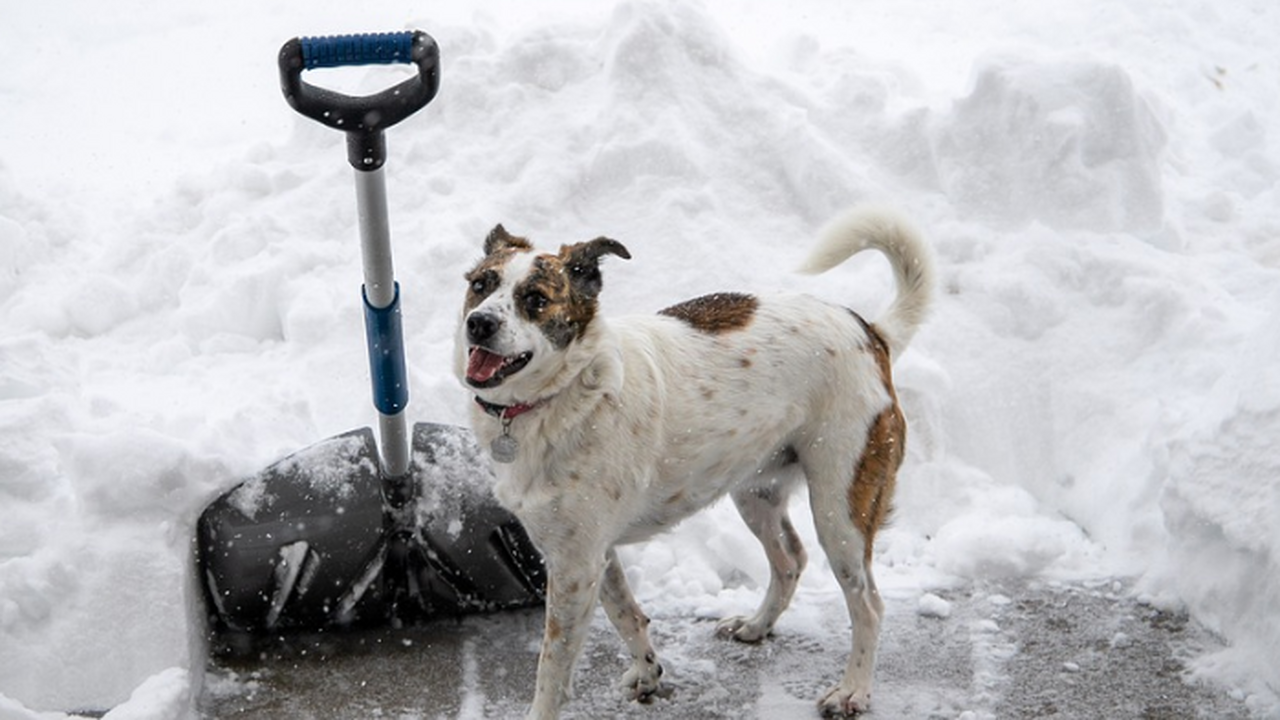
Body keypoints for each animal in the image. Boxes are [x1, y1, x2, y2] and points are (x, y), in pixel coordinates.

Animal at [455, 204, 936, 712]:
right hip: (756, 491)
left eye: (535, 298)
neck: (562, 394)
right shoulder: (591, 554)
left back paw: (853, 688)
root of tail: (871, 332)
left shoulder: (575, 565)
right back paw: (756, 625)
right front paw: (648, 673)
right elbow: (626, 614)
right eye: (481, 284)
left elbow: (551, 668)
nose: (479, 324)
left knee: (868, 604)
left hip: (840, 508)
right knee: (790, 560)